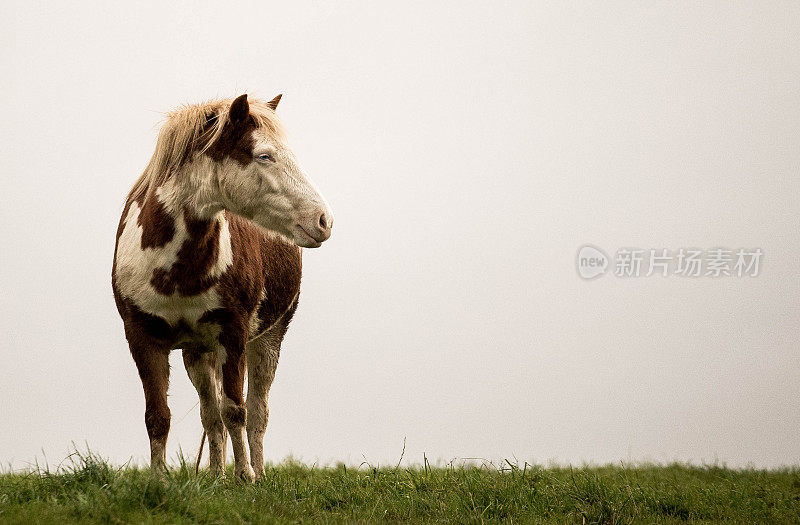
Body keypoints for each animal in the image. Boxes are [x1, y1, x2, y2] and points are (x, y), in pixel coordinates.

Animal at [111, 93, 332, 478]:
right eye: (264, 155)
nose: (324, 220)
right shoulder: (142, 338)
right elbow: (159, 417)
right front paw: (158, 481)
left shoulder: (233, 335)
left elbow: (236, 411)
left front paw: (245, 477)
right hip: (198, 352)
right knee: (210, 416)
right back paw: (215, 476)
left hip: (268, 339)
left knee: (256, 413)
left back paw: (257, 473)